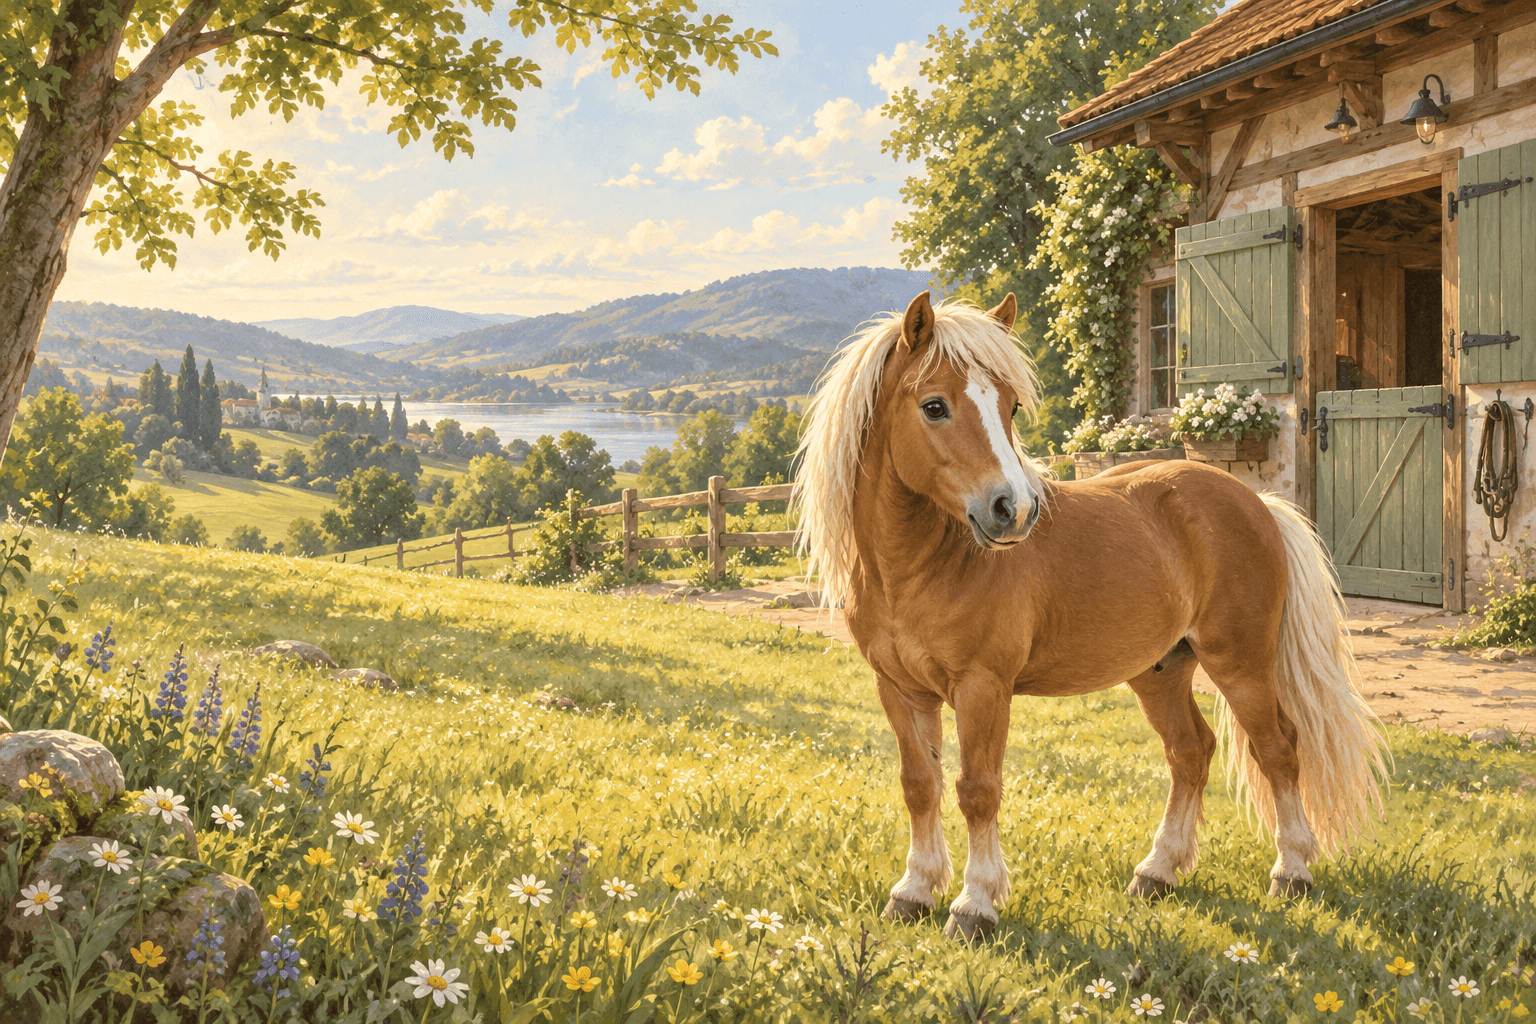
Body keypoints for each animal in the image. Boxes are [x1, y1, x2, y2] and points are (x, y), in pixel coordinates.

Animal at [793, 292, 1389, 940]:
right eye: (934, 406)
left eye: (1010, 405)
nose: (1014, 510)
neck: (923, 568)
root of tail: (1256, 502)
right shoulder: (900, 689)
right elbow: (919, 785)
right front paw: (914, 891)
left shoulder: (982, 688)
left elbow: (977, 790)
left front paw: (974, 904)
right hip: (1160, 671)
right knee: (1191, 752)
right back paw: (1157, 872)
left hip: (1241, 665)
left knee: (1278, 748)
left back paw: (1291, 871)